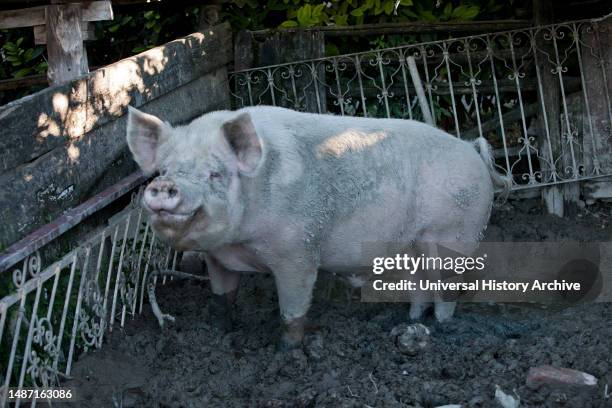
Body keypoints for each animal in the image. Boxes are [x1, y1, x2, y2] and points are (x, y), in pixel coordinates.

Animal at [125, 103, 512, 350]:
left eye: (215, 173)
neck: (239, 243)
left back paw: (442, 329)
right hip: (411, 247)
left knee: (447, 291)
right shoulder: (216, 256)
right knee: (418, 286)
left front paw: (287, 352)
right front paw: (221, 332)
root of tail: (472, 150)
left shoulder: (297, 251)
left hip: (456, 236)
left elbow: (293, 310)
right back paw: (410, 321)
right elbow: (224, 297)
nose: (164, 186)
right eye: (163, 170)